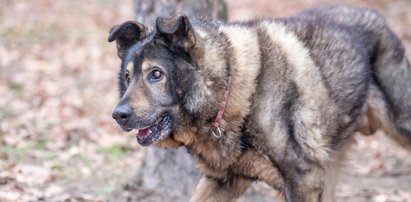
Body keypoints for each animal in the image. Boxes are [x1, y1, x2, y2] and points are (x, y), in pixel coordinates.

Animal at [108, 5, 411, 201]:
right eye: (127, 77)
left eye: (156, 74)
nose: (118, 115)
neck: (228, 85)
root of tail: (380, 19)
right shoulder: (224, 181)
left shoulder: (305, 178)